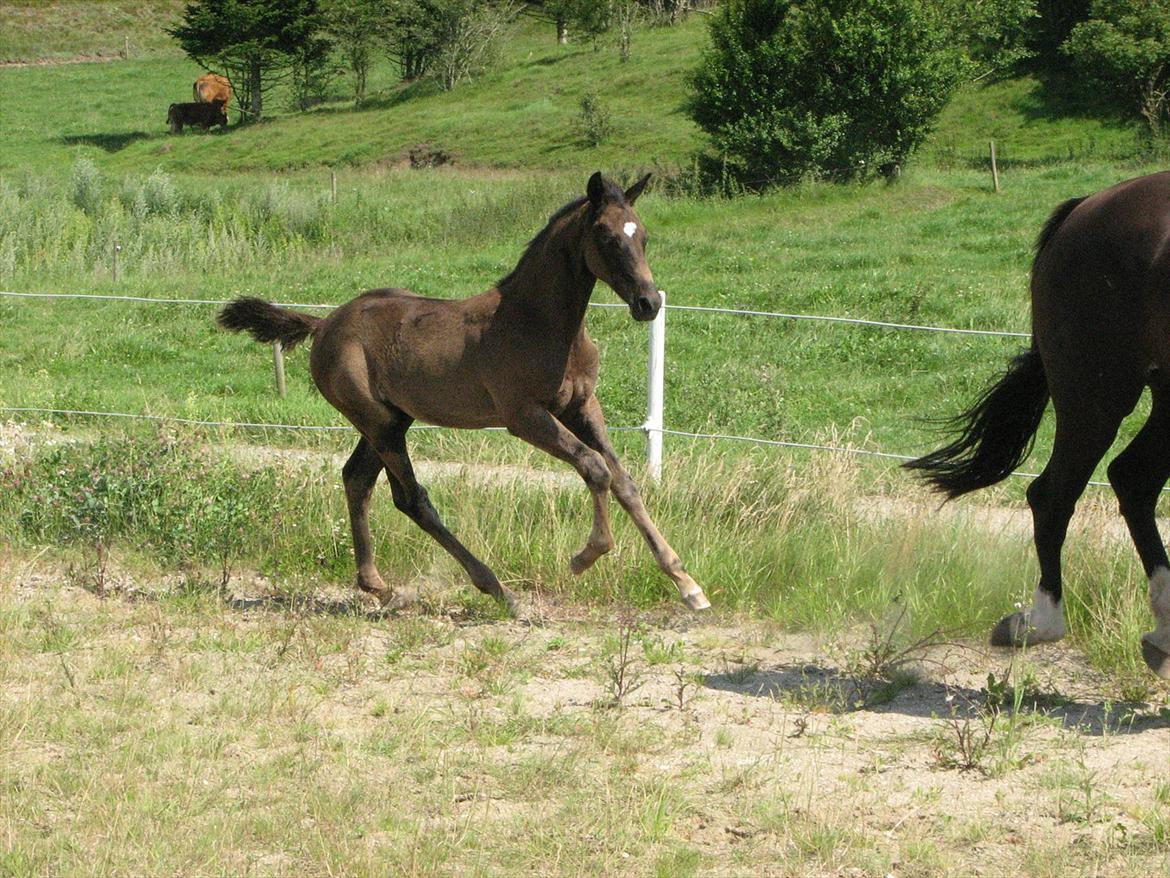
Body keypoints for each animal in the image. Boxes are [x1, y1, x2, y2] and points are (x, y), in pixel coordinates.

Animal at [219, 172, 711, 618]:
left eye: (642, 235)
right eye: (606, 237)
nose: (648, 303)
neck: (541, 323)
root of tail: (323, 325)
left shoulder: (582, 407)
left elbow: (624, 481)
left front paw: (687, 584)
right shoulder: (524, 416)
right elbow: (594, 468)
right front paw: (585, 556)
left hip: (391, 419)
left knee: (357, 479)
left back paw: (378, 586)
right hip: (380, 424)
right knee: (412, 499)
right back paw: (500, 591)